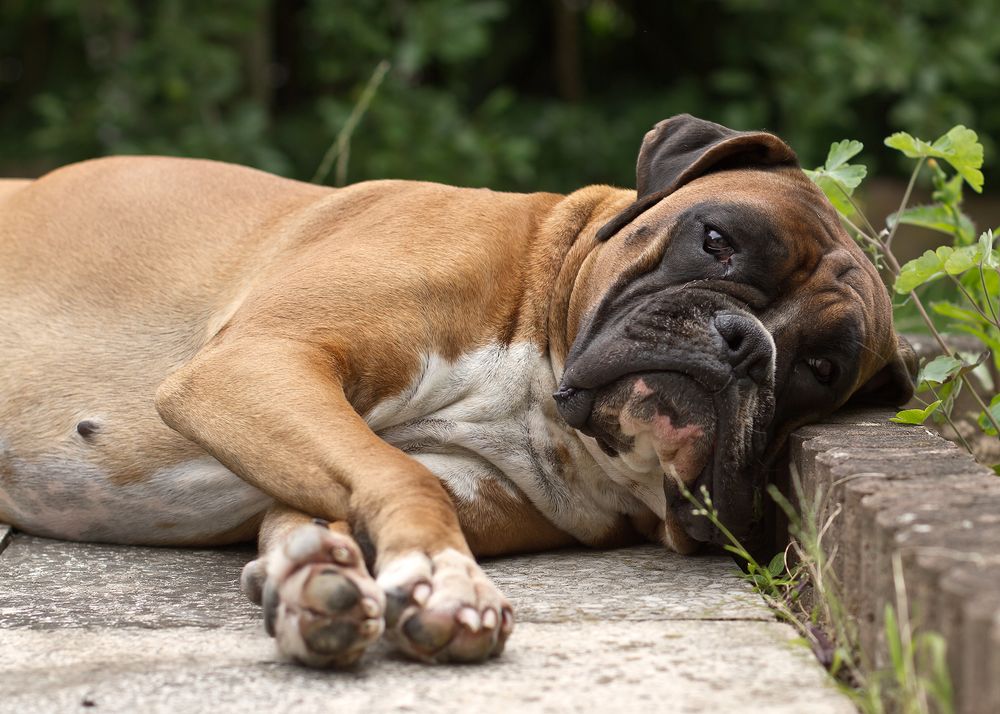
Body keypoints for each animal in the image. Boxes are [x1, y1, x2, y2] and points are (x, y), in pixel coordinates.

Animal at [0, 114, 916, 664]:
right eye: (717, 239)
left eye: (822, 370)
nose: (744, 344)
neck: (537, 367)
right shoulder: (262, 361)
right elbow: (398, 473)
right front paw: (448, 581)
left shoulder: (435, 476)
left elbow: (349, 498)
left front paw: (312, 576)